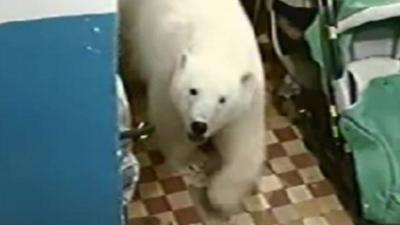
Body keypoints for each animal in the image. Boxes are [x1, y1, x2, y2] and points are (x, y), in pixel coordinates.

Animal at [120, 0, 268, 214]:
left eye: (222, 100)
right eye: (193, 91)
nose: (199, 126)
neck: (219, 45)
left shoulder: (251, 95)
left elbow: (245, 143)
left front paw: (222, 196)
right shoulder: (167, 73)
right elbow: (170, 124)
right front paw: (192, 166)